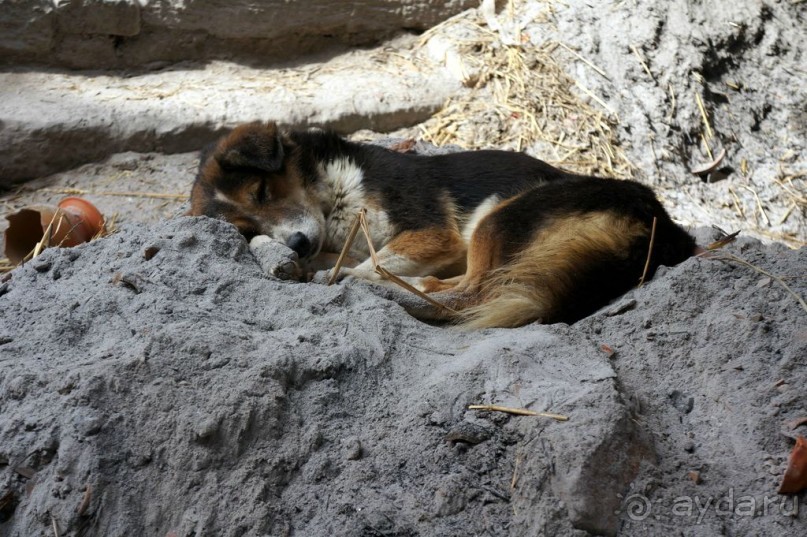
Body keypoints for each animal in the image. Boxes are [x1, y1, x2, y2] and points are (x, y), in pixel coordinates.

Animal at [188, 122, 696, 326]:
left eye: (261, 191)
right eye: (246, 227)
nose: (295, 244)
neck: (334, 193)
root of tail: (658, 225)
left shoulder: (434, 233)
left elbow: (371, 263)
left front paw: (340, 276)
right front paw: (281, 260)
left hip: (498, 218)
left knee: (469, 295)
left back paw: (398, 291)